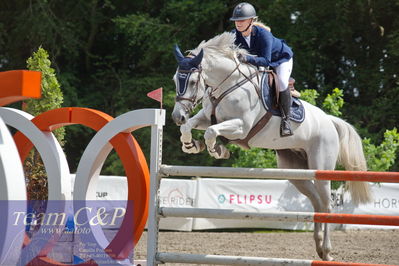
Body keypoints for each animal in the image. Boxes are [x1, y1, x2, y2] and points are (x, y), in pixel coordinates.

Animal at [171, 32, 372, 260]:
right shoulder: (207, 117)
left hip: (321, 167)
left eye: (193, 81)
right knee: (316, 202)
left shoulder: (241, 127)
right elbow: (189, 127)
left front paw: (218, 150)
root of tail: (329, 120)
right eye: (175, 80)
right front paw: (191, 145)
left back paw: (327, 251)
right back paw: (319, 247)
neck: (229, 84)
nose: (177, 116)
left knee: (327, 205)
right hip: (296, 172)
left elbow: (211, 132)